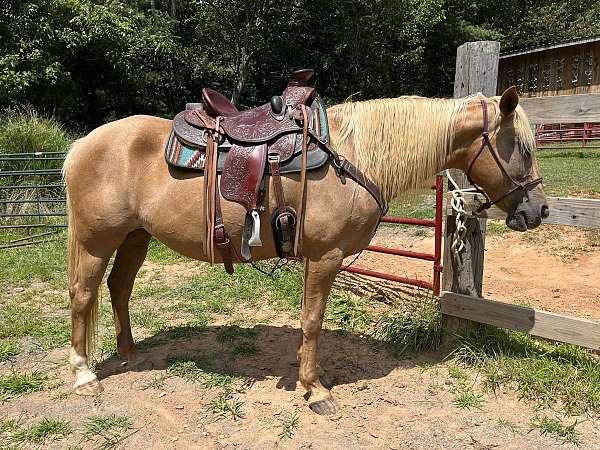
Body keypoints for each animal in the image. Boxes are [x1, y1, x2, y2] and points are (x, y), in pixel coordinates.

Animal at [64, 87, 548, 414]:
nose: (539, 210)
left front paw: (308, 374)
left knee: (119, 289)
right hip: (96, 241)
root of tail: (82, 145)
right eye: (522, 148)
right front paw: (314, 389)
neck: (353, 157)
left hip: (135, 236)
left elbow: (309, 322)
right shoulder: (325, 257)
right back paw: (84, 374)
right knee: (83, 295)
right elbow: (313, 321)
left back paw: (129, 352)